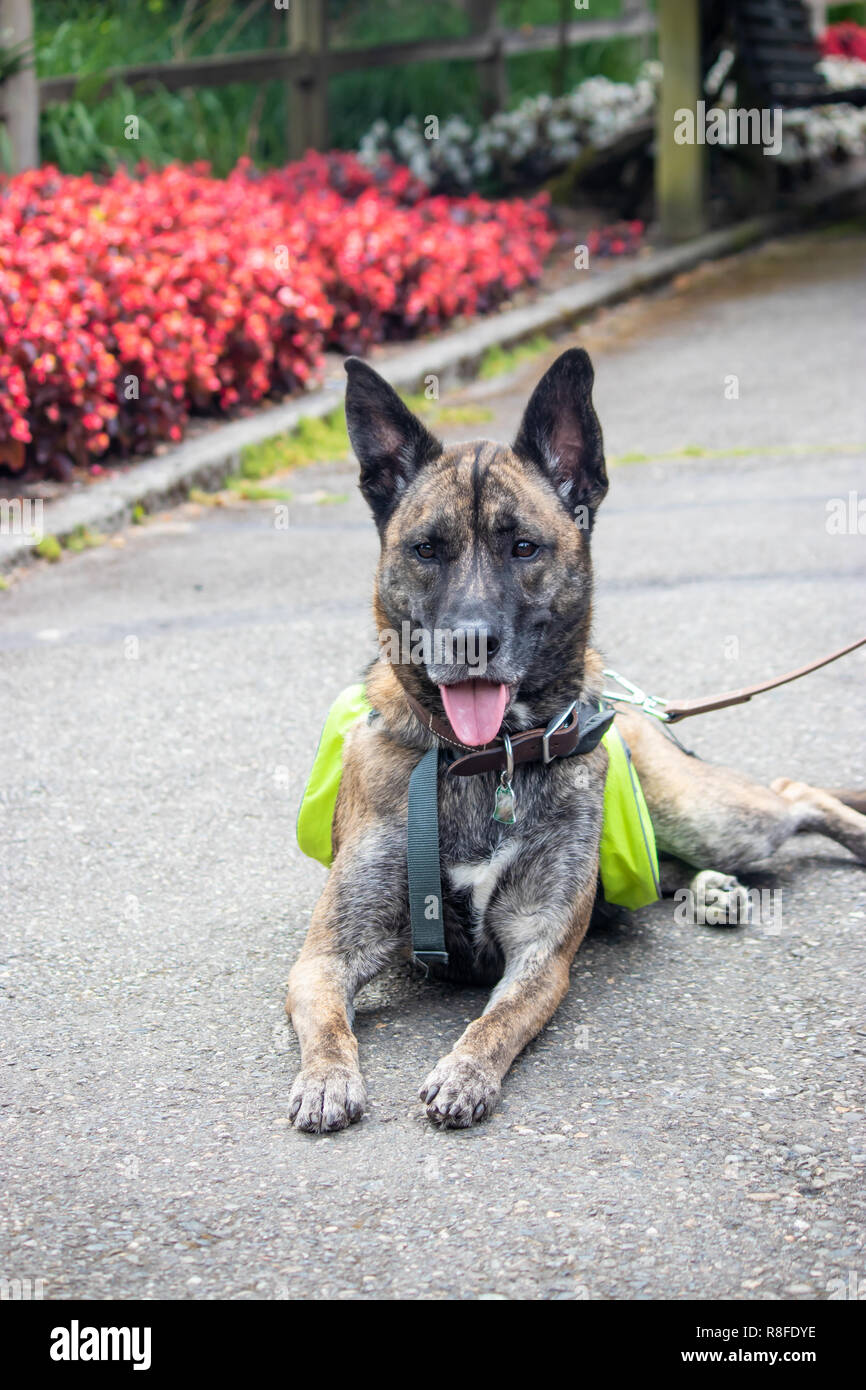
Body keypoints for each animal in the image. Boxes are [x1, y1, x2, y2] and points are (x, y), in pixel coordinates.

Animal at [286, 344, 866, 1128]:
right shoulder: (326, 955)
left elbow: (495, 1021)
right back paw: (711, 892)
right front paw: (326, 1077)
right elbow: (325, 1016)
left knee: (794, 792)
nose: (470, 643)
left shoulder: (541, 953)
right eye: (427, 549)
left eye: (524, 547)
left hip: (720, 820)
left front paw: (466, 1070)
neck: (485, 761)